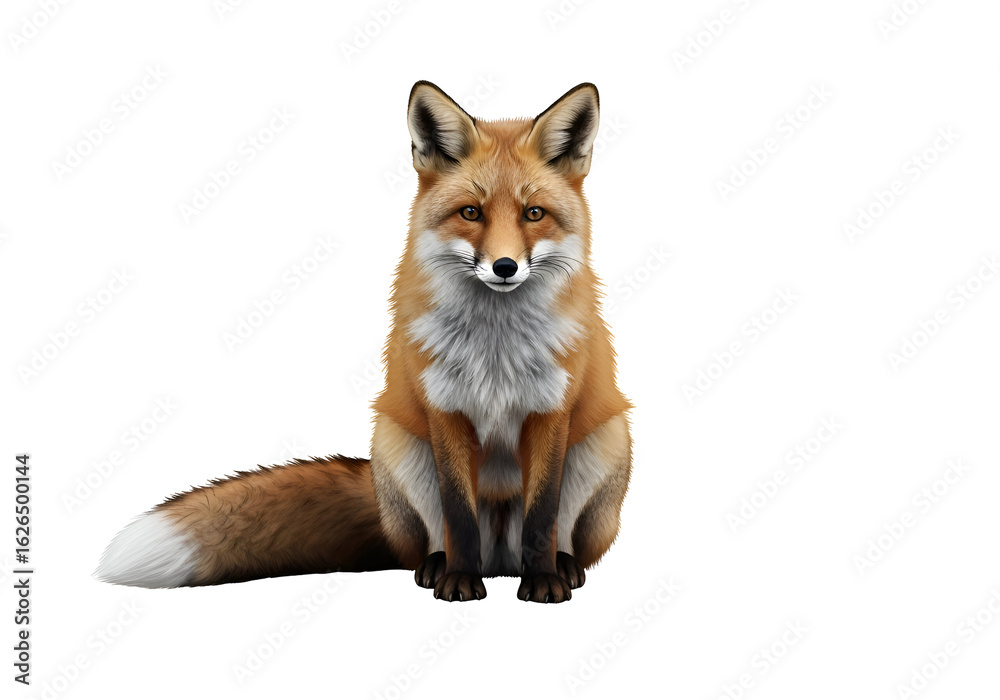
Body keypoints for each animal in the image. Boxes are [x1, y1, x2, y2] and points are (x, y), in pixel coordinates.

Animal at [96, 81, 632, 603]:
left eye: (534, 213)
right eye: (471, 212)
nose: (504, 267)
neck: (495, 351)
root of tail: (500, 560)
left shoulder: (551, 411)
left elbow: (543, 514)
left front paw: (543, 583)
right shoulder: (443, 410)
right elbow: (457, 513)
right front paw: (459, 582)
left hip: (606, 441)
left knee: (563, 537)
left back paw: (562, 568)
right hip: (397, 444)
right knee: (429, 539)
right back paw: (439, 567)